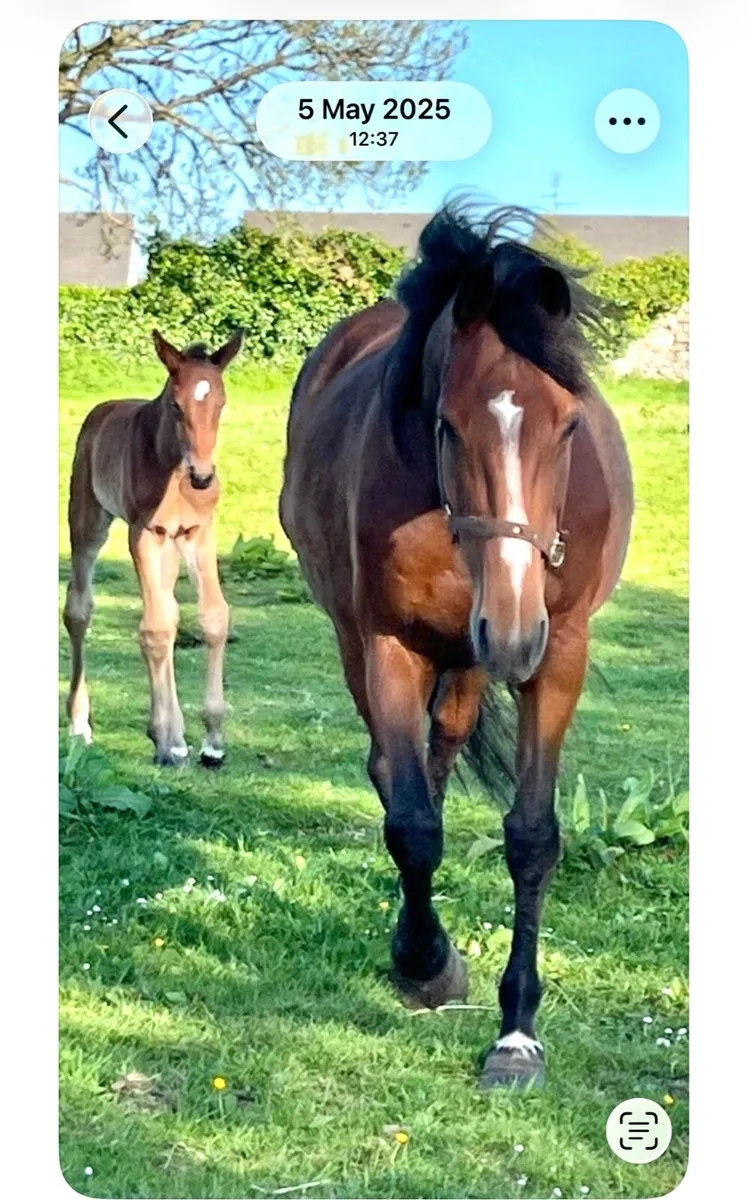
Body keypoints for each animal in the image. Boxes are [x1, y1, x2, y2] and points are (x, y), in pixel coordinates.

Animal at [63, 328, 243, 768]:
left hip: (171, 547)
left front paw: (213, 741)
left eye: (220, 403)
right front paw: (169, 739)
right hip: (88, 519)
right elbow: (157, 627)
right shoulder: (144, 534)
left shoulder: (198, 532)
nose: (203, 476)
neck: (174, 471)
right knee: (79, 608)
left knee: (170, 612)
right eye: (176, 405)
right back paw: (80, 723)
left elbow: (213, 617)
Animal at [280, 203, 633, 1088]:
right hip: (378, 640)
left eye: (569, 425)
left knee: (439, 752)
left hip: (475, 659)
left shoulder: (556, 651)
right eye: (445, 423)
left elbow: (531, 835)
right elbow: (410, 824)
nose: (509, 629)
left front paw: (516, 1033)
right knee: (394, 770)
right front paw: (425, 966)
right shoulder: (389, 643)